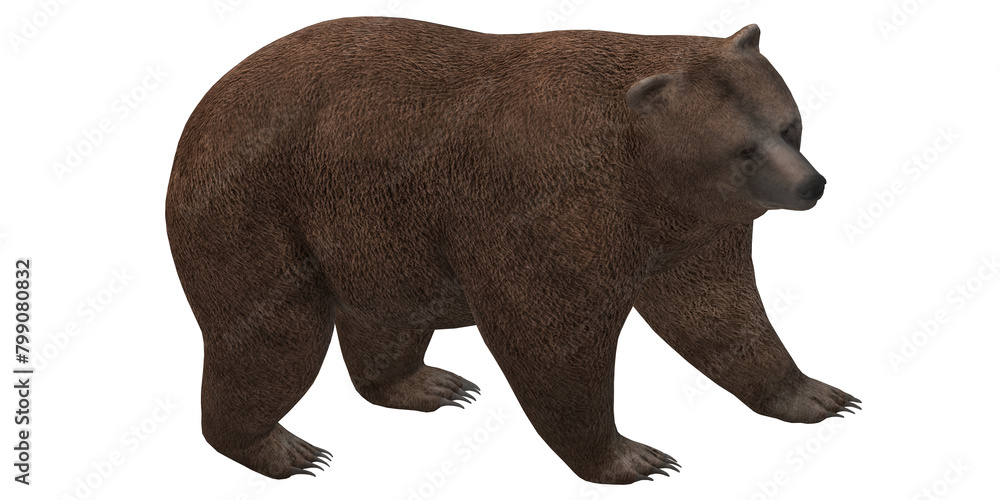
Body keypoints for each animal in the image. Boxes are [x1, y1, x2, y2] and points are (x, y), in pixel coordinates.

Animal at [165, 17, 859, 484]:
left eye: (789, 125)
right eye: (743, 148)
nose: (812, 184)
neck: (642, 175)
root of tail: (203, 107)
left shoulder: (688, 228)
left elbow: (718, 311)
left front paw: (819, 395)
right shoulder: (538, 206)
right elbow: (548, 338)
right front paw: (632, 456)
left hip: (379, 231)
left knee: (385, 315)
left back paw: (427, 383)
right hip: (254, 209)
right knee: (274, 336)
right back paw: (280, 448)